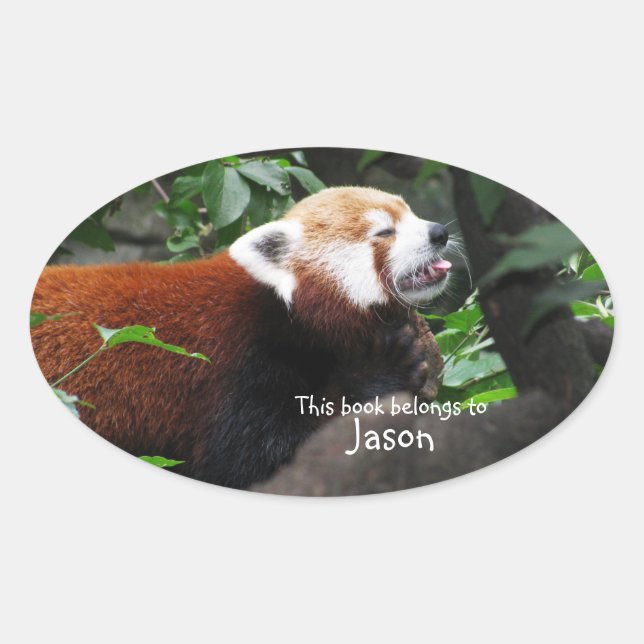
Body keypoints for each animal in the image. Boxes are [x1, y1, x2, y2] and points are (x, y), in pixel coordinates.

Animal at [31, 186, 452, 489]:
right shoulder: (238, 363)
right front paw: (383, 371)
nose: (440, 232)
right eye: (385, 231)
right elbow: (249, 457)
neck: (285, 311)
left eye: (411, 213)